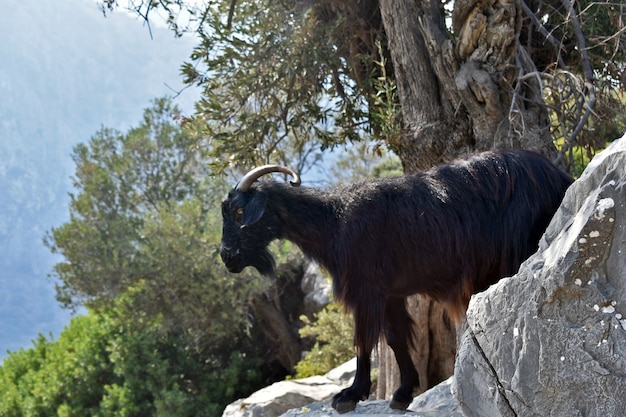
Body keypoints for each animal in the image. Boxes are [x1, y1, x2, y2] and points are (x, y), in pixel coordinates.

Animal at [218, 149, 572, 410]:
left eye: (239, 213)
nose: (227, 256)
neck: (334, 222)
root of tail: (559, 176)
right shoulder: (390, 294)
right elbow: (395, 338)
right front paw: (403, 392)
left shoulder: (367, 289)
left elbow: (363, 340)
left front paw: (349, 395)